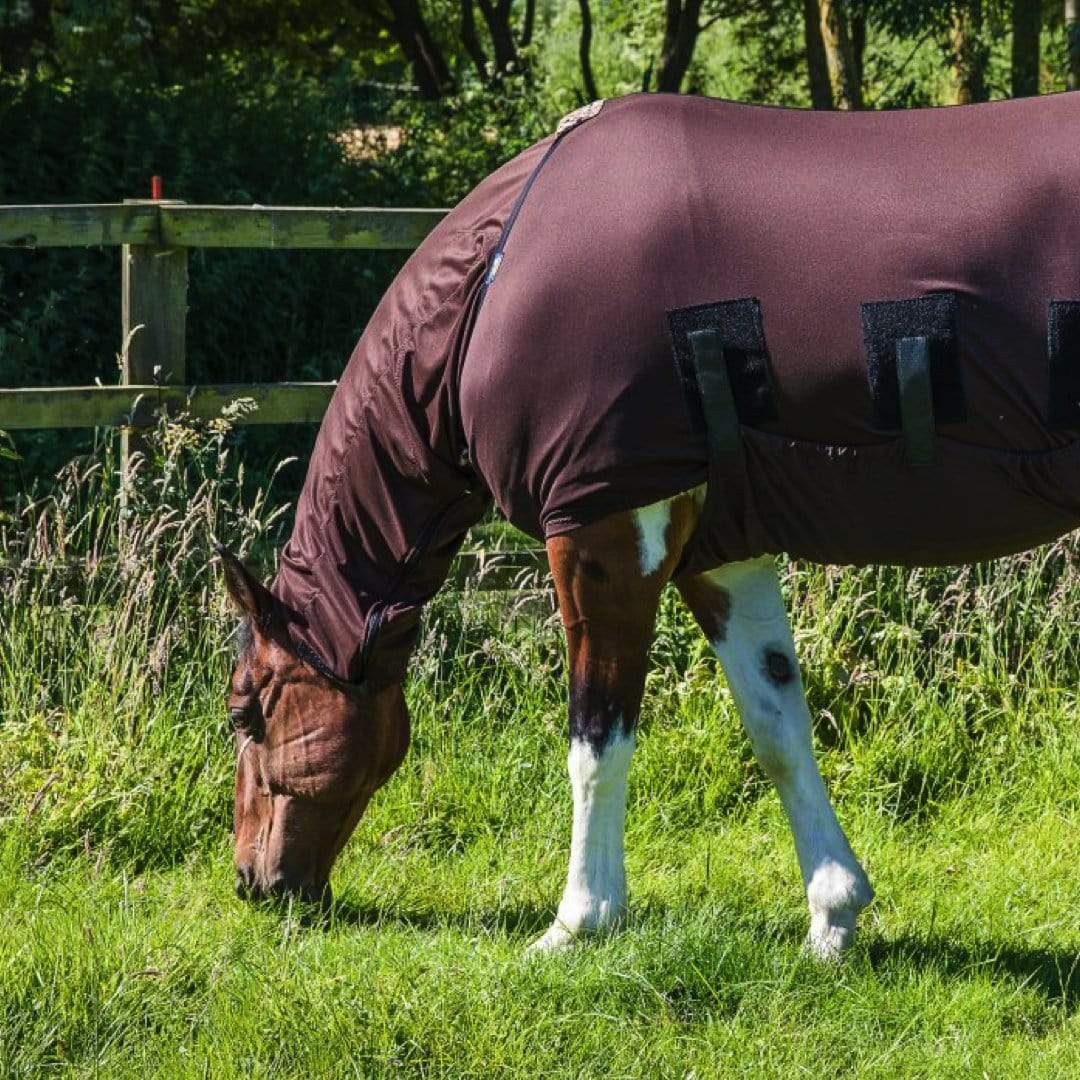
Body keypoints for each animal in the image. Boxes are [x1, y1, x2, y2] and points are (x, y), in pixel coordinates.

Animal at [220, 91, 1080, 958]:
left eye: (244, 709)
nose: (253, 884)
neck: (493, 283)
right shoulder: (720, 550)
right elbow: (776, 724)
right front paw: (833, 912)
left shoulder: (602, 535)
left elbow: (597, 739)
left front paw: (580, 919)